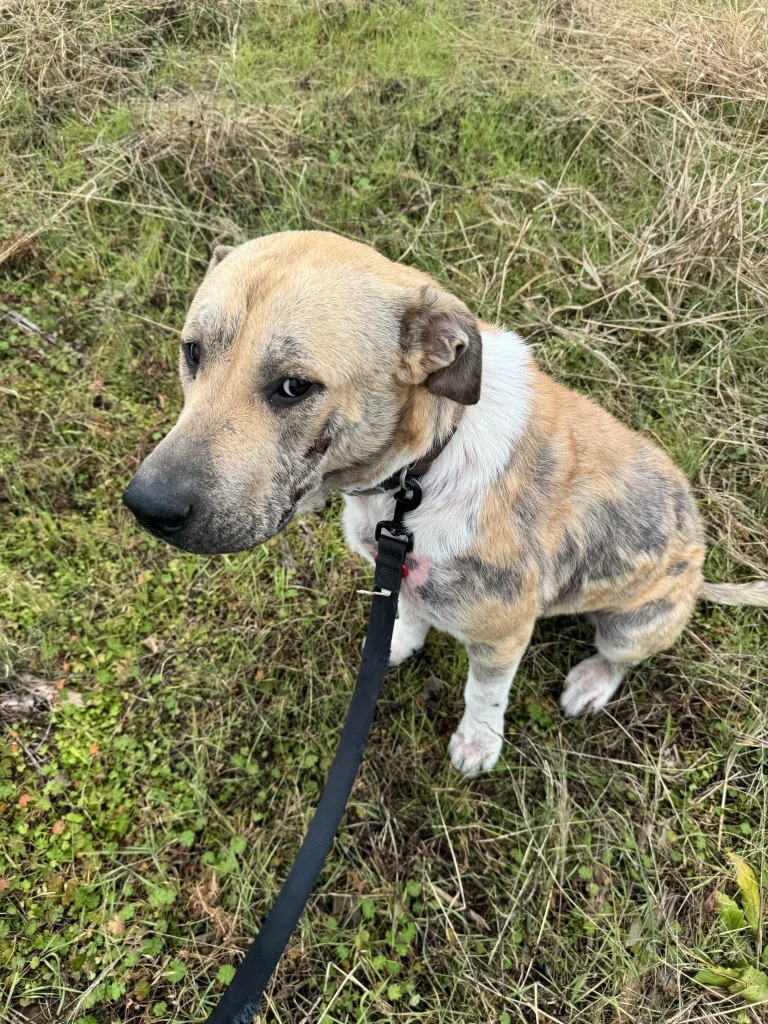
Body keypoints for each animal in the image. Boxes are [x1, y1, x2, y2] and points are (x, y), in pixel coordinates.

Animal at [123, 230, 765, 774]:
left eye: (295, 386)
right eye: (192, 352)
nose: (147, 506)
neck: (416, 476)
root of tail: (699, 571)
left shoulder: (502, 635)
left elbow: (483, 695)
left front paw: (478, 746)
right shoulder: (400, 572)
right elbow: (407, 610)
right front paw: (395, 643)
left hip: (634, 623)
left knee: (621, 657)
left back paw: (591, 681)